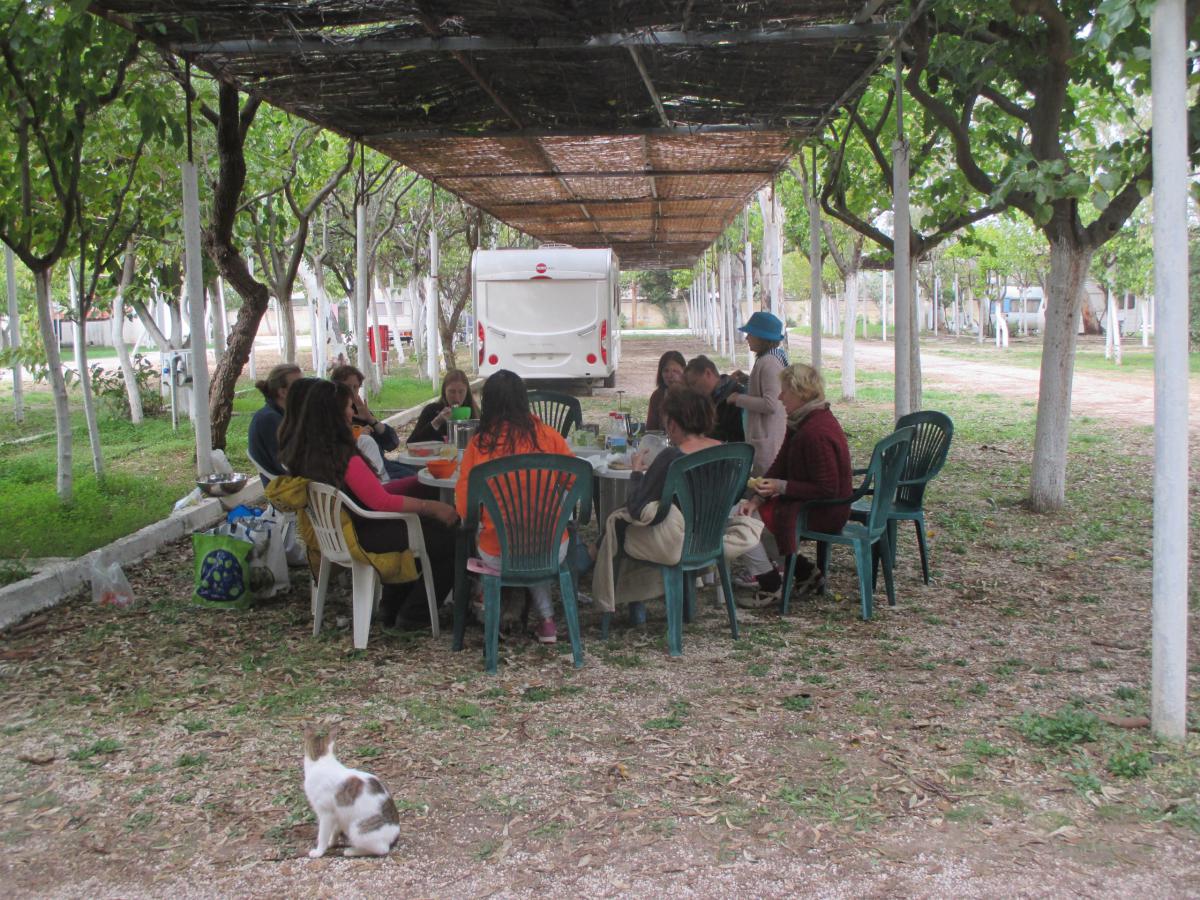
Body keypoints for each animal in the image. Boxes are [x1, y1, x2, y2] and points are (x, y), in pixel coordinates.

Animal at [302, 724, 400, 859]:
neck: (321, 762)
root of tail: (394, 833)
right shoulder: (337, 813)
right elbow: (335, 830)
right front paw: (332, 842)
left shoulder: (326, 813)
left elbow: (322, 835)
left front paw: (319, 851)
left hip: (356, 829)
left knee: (382, 849)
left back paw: (352, 851)